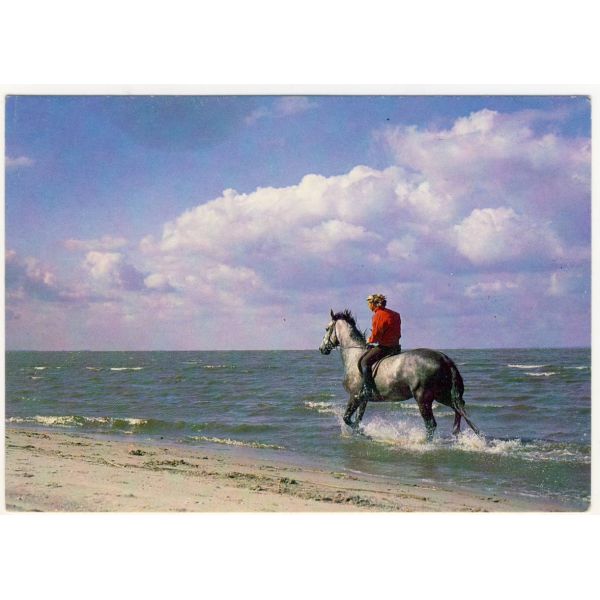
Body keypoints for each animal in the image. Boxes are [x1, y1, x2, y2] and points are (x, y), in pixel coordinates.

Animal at [319, 309, 480, 440]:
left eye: (327, 328)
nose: (322, 349)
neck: (354, 356)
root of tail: (444, 359)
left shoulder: (355, 396)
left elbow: (347, 418)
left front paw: (367, 434)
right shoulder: (363, 399)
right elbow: (358, 420)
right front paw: (361, 433)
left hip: (423, 398)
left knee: (431, 424)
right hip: (442, 395)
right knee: (458, 409)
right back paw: (456, 433)